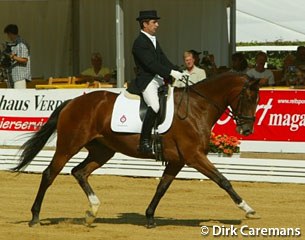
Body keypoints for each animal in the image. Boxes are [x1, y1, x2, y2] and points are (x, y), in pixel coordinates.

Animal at [13, 72, 262, 228]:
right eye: (248, 97)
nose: (247, 129)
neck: (196, 108)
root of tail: (72, 102)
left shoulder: (178, 160)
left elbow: (162, 187)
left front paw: (150, 218)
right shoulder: (194, 156)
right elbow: (223, 180)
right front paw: (248, 209)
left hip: (103, 151)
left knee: (79, 172)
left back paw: (92, 212)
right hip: (68, 146)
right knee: (49, 174)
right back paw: (35, 217)